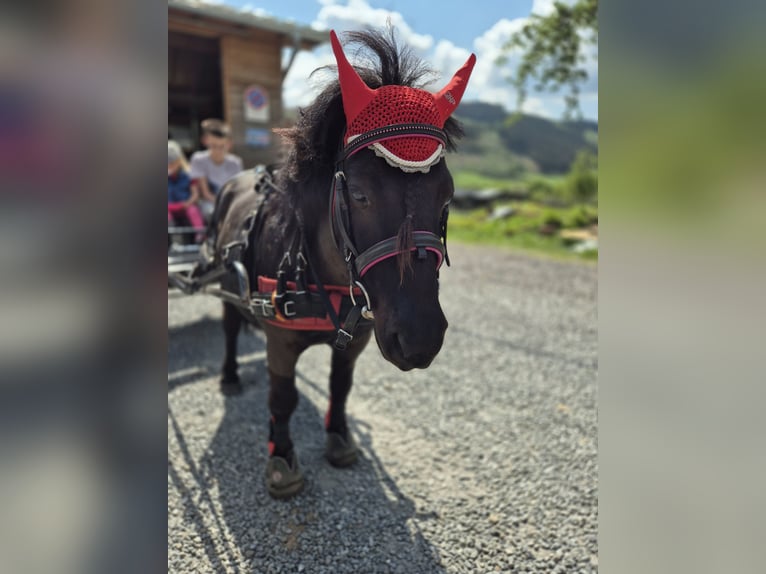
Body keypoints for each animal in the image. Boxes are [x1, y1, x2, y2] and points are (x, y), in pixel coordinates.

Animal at [207, 27, 476, 500]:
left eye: (447, 196)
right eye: (361, 194)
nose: (420, 336)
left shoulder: (360, 338)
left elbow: (341, 386)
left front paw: (338, 438)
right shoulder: (279, 338)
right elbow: (282, 398)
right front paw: (282, 457)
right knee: (229, 327)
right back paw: (230, 375)